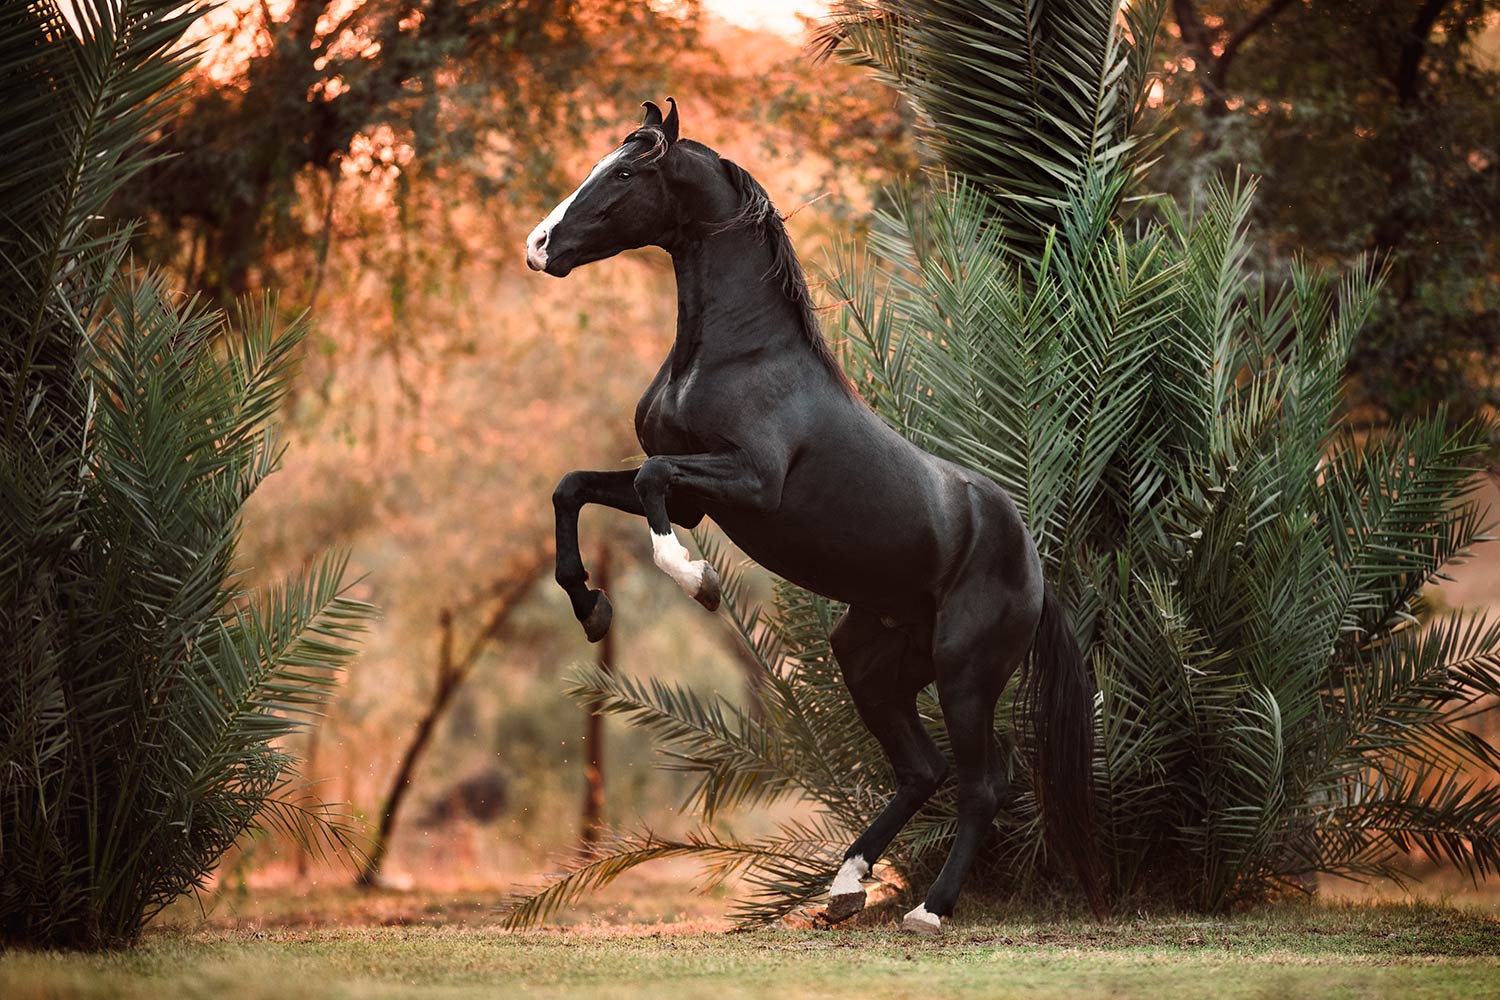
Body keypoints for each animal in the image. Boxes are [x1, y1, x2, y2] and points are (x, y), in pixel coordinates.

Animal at [529, 98, 1105, 933]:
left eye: (630, 171)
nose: (539, 246)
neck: (736, 356)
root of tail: (1032, 564)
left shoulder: (748, 484)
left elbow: (651, 481)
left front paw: (697, 581)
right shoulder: (697, 494)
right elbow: (575, 487)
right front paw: (591, 607)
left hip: (966, 671)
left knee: (981, 783)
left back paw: (928, 910)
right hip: (871, 660)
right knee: (922, 769)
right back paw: (844, 887)